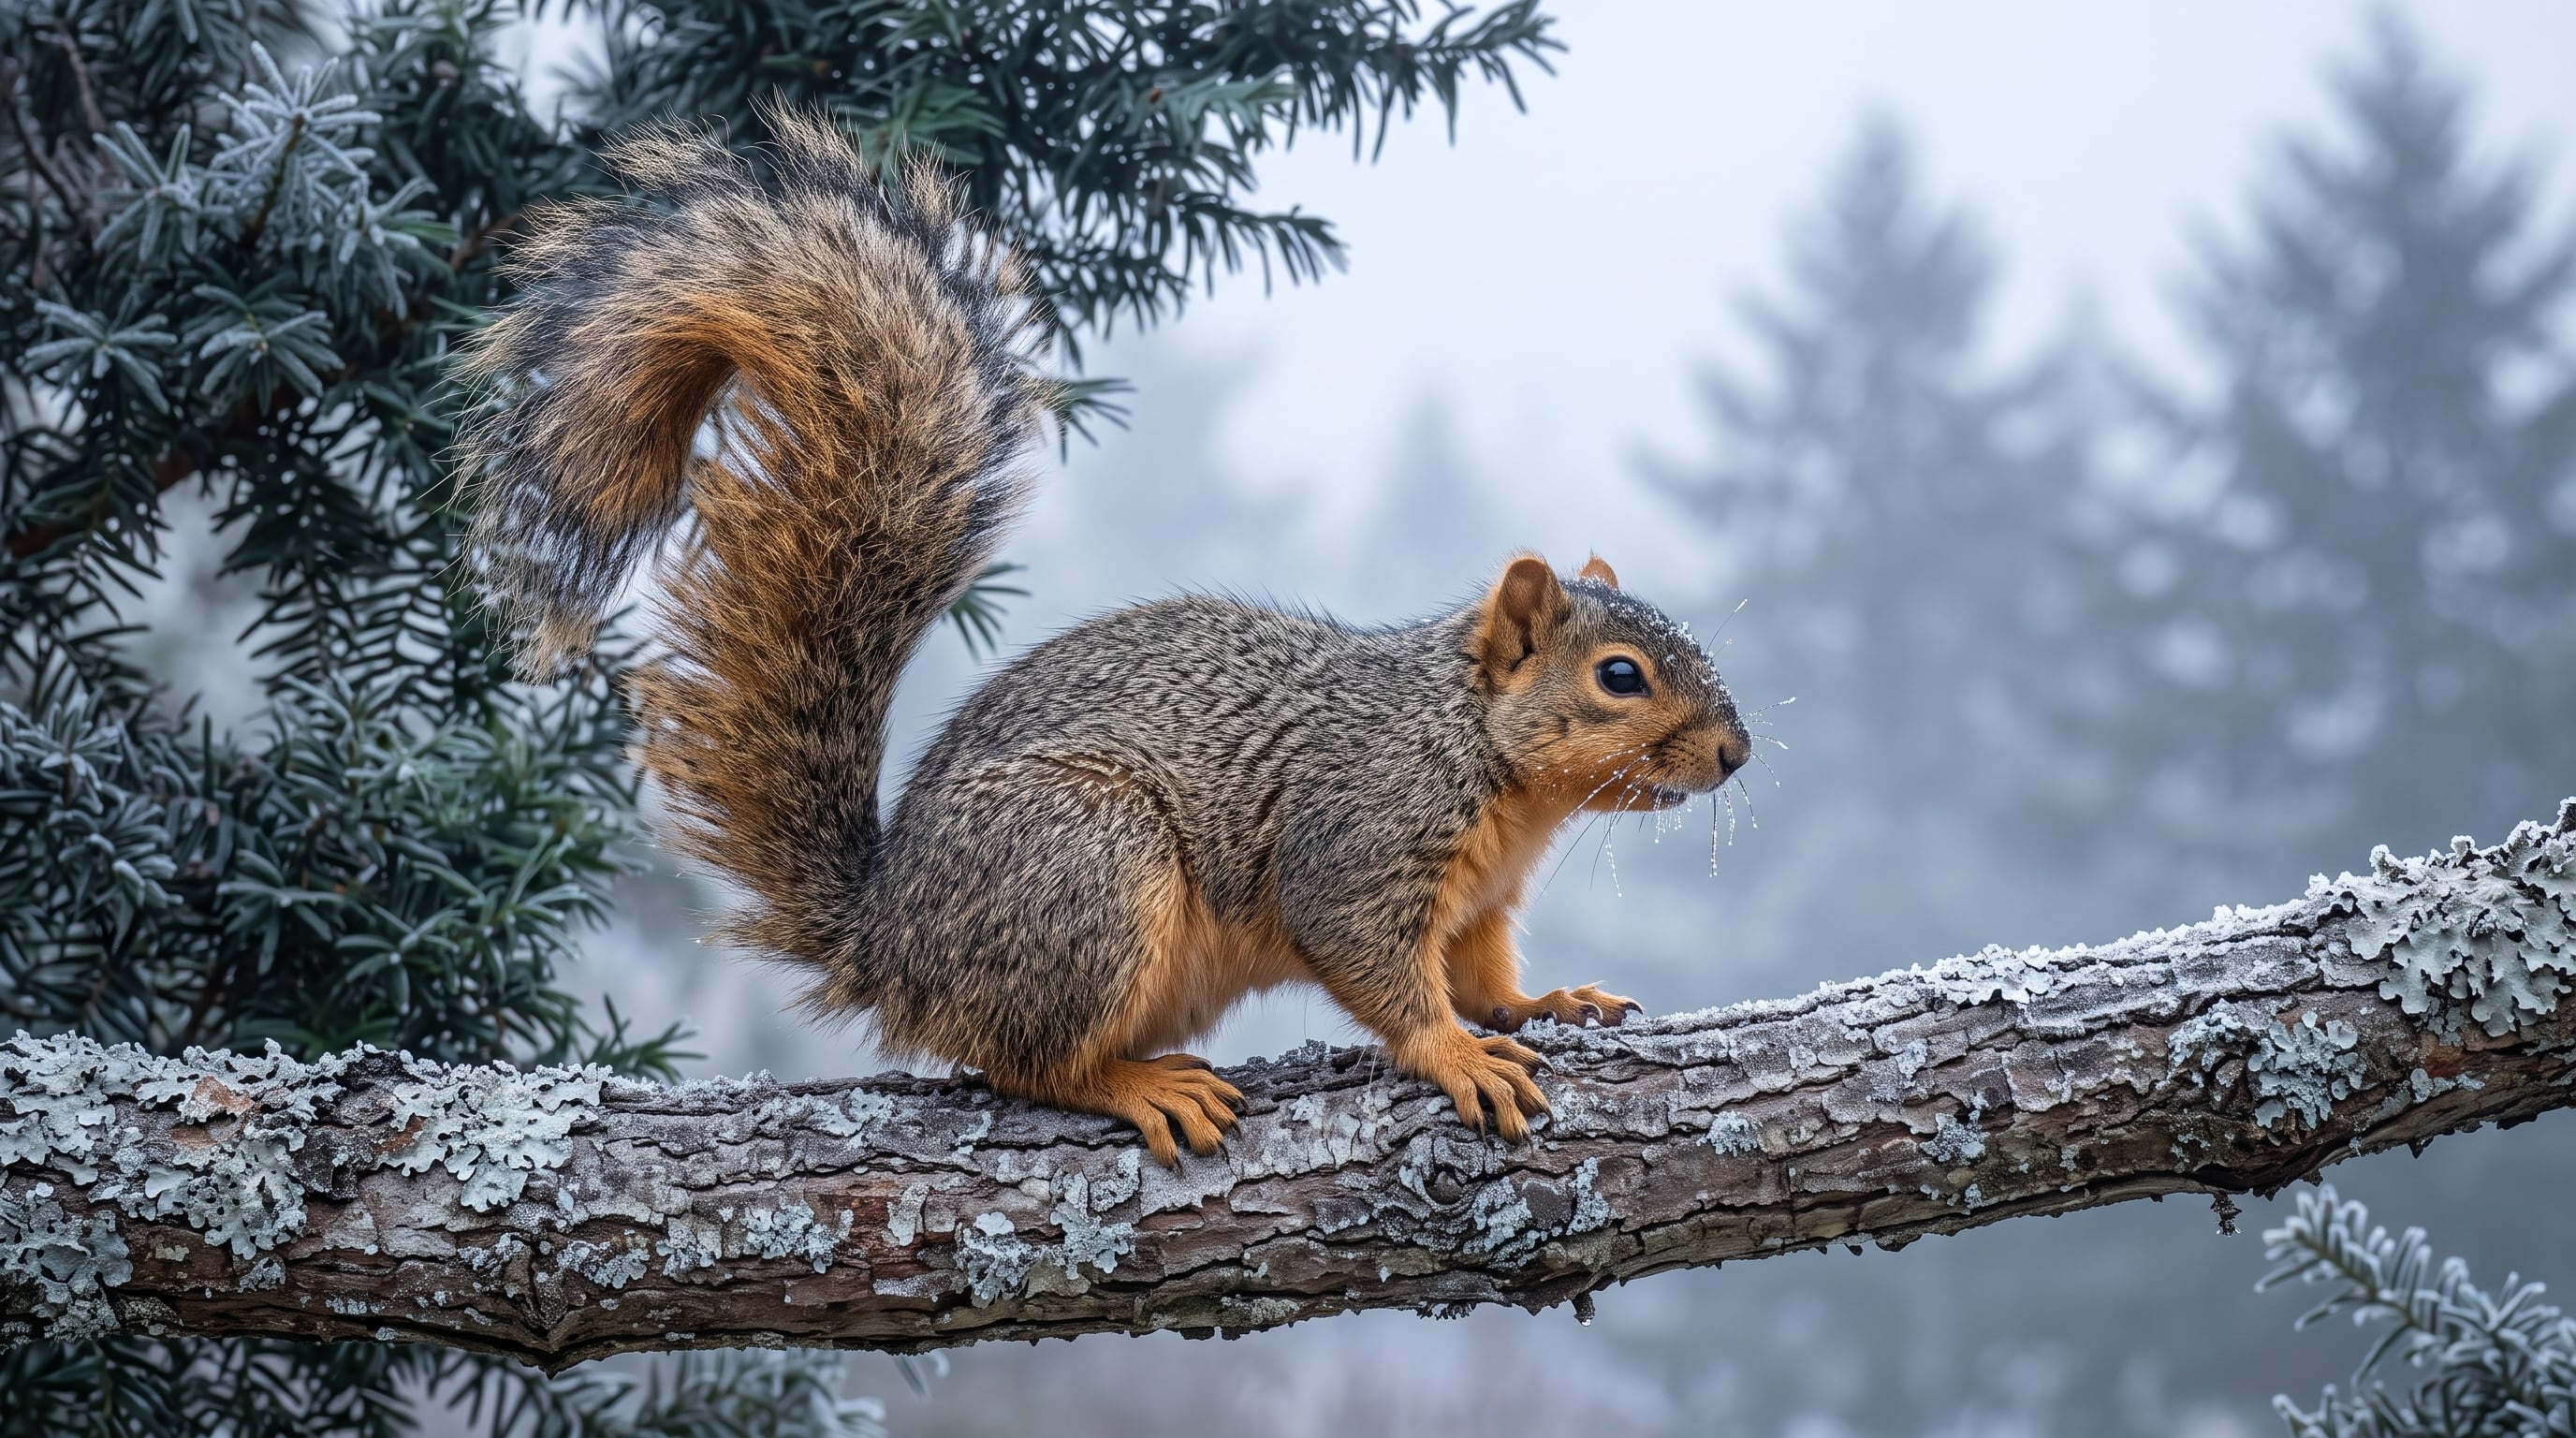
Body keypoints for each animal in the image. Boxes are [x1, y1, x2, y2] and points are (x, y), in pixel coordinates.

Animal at [457, 108, 1751, 1167]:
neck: (1492, 766)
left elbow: (1483, 978)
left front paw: (1543, 1009)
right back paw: (1137, 1086)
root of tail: (890, 938)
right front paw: (1456, 1057)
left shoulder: (1479, 905)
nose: (1736, 754)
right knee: (1023, 1060)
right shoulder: (1360, 832)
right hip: (1087, 860)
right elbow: (1378, 969)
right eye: (1621, 676)